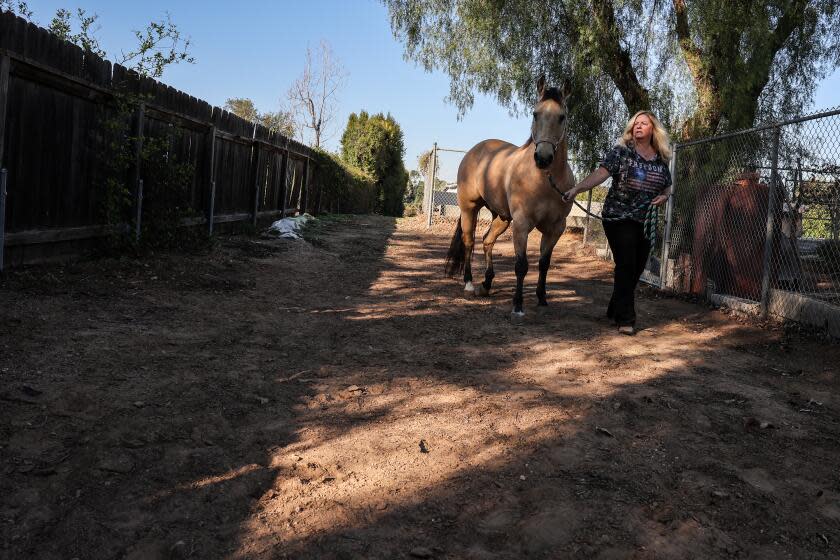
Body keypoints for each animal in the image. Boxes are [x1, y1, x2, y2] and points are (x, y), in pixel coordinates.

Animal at [442, 74, 576, 324]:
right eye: (535, 113)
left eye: (562, 117)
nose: (543, 158)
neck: (544, 180)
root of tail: (475, 150)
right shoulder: (522, 224)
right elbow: (521, 266)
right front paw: (518, 305)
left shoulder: (556, 228)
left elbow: (544, 264)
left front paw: (542, 298)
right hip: (469, 209)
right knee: (469, 241)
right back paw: (469, 283)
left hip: (502, 218)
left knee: (487, 241)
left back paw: (486, 284)